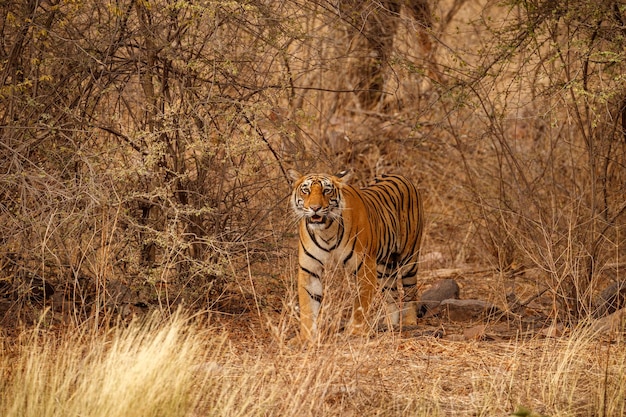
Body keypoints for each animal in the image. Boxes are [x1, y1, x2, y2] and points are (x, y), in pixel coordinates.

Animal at [288, 169, 424, 342]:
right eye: (306, 190)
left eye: (327, 190)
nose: (315, 208)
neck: (326, 230)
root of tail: (400, 176)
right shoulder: (309, 269)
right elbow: (308, 305)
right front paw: (306, 337)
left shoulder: (364, 266)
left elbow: (360, 302)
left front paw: (356, 332)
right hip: (384, 268)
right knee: (391, 295)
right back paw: (389, 325)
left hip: (409, 258)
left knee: (410, 290)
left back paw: (409, 322)